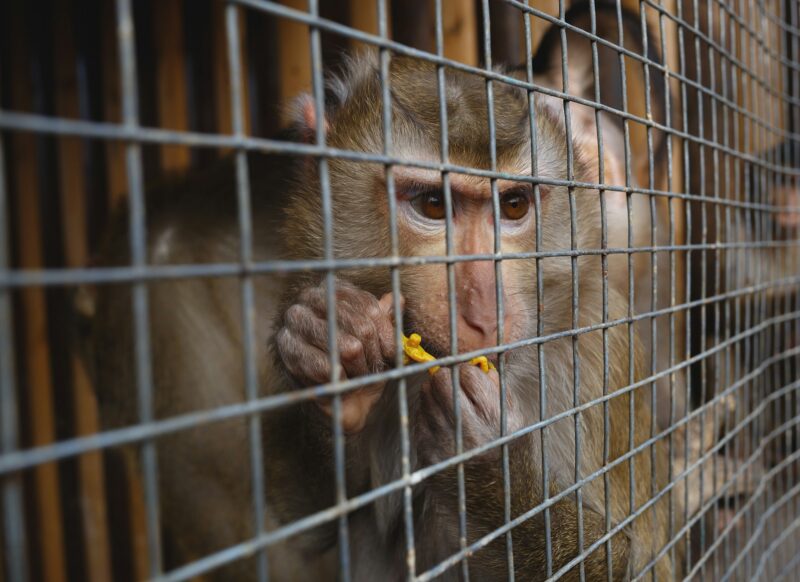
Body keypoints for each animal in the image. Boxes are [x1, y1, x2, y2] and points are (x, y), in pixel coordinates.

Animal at [89, 30, 676, 582]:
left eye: (513, 205)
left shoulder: (599, 349)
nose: (484, 314)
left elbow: (641, 560)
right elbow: (310, 527)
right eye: (433, 204)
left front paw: (491, 464)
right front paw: (330, 353)